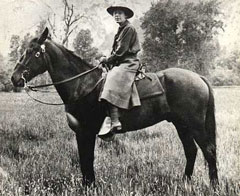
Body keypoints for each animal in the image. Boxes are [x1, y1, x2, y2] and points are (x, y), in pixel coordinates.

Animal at [10, 28, 218, 187]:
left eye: (34, 52)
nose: (15, 78)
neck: (82, 85)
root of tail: (198, 77)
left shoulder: (85, 132)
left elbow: (87, 160)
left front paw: (90, 187)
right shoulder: (81, 133)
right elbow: (84, 161)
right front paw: (88, 185)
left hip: (195, 125)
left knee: (208, 151)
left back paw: (214, 186)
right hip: (181, 125)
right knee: (191, 151)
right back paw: (185, 182)